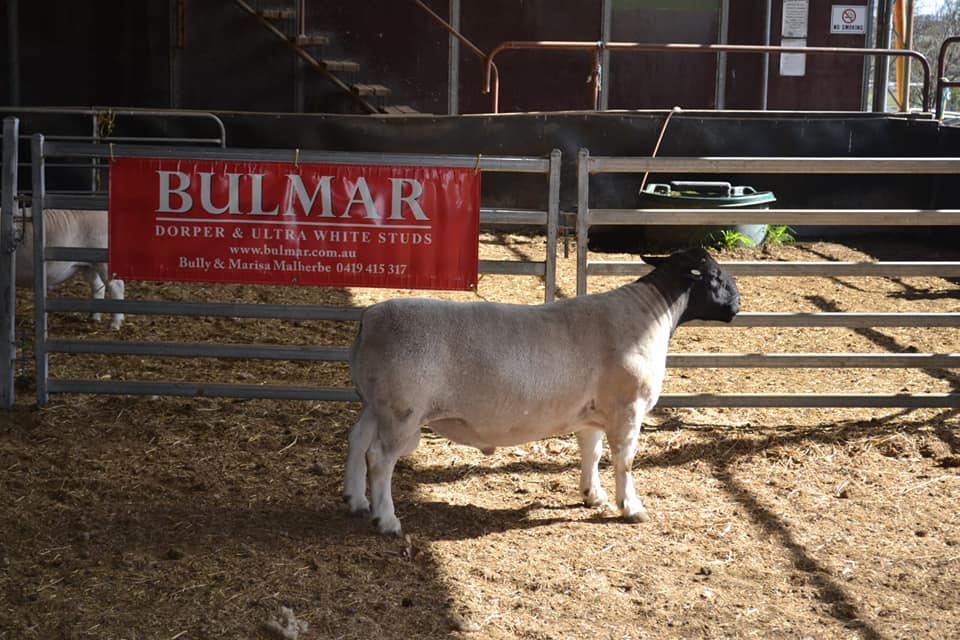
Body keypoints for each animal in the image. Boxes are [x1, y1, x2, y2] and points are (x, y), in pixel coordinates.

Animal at [343, 247, 740, 535]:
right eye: (716, 276)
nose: (738, 305)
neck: (651, 314)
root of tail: (370, 318)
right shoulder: (627, 408)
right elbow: (624, 461)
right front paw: (631, 507)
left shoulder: (593, 415)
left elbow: (592, 454)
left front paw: (592, 495)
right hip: (402, 411)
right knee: (379, 457)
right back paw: (386, 520)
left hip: (375, 402)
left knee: (357, 439)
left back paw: (355, 500)